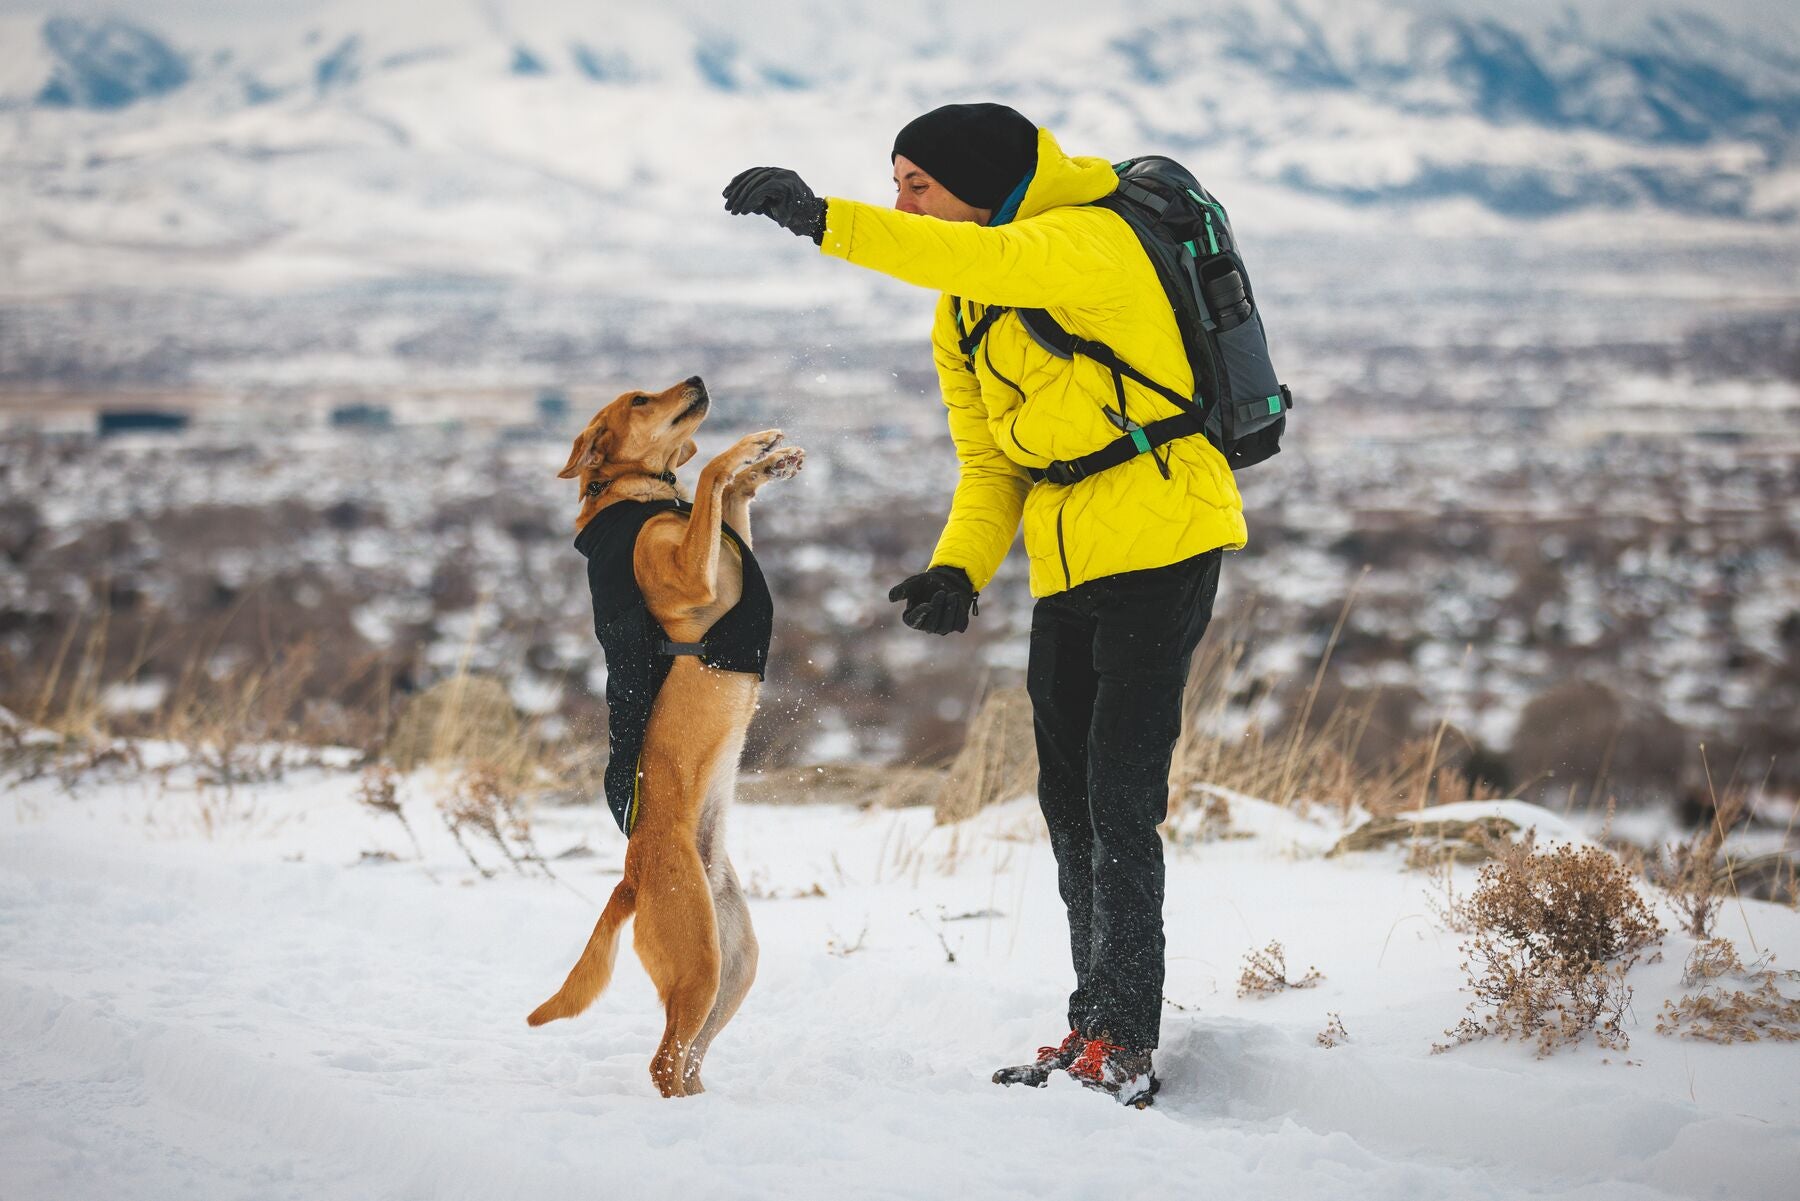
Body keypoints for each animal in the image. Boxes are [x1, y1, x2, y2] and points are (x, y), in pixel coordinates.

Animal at [522, 376, 802, 1101]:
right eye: (641, 399)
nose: (698, 380)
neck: (644, 498)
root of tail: (631, 877)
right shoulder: (692, 574)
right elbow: (708, 481)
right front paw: (742, 451)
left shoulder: (726, 546)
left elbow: (727, 504)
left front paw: (764, 466)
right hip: (698, 960)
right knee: (663, 1061)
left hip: (734, 963)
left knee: (689, 1058)